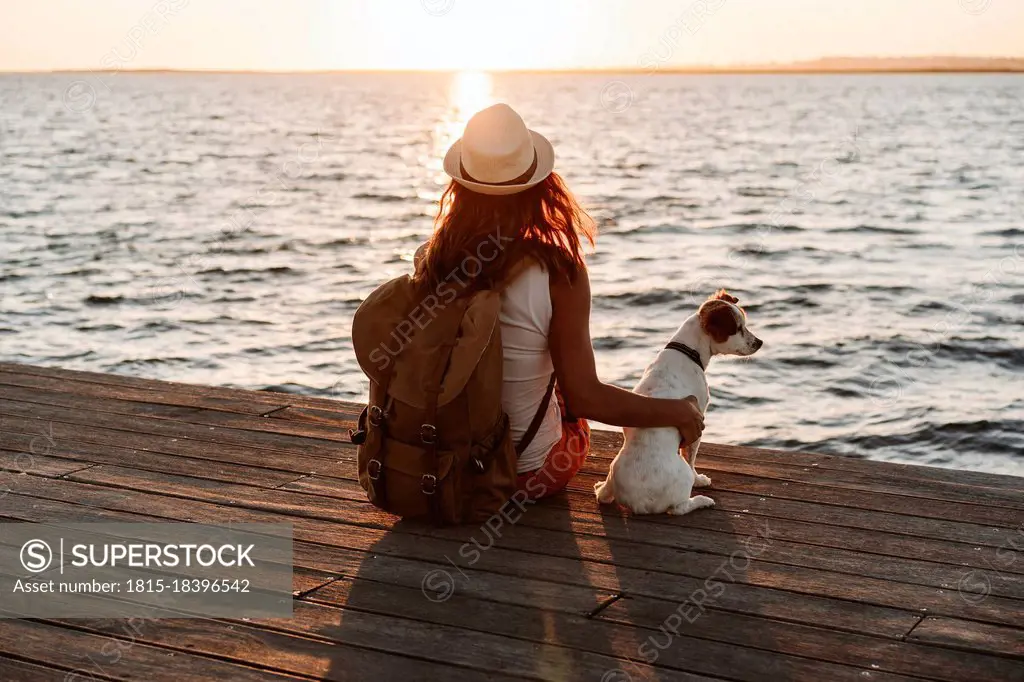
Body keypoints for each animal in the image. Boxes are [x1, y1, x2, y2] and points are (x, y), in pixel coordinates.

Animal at [593, 288, 761, 516]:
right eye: (737, 329)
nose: (759, 342)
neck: (687, 351)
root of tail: (638, 503)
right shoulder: (697, 420)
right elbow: (691, 457)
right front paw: (700, 480)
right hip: (681, 481)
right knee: (678, 508)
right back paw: (701, 500)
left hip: (613, 471)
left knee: (603, 496)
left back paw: (600, 487)